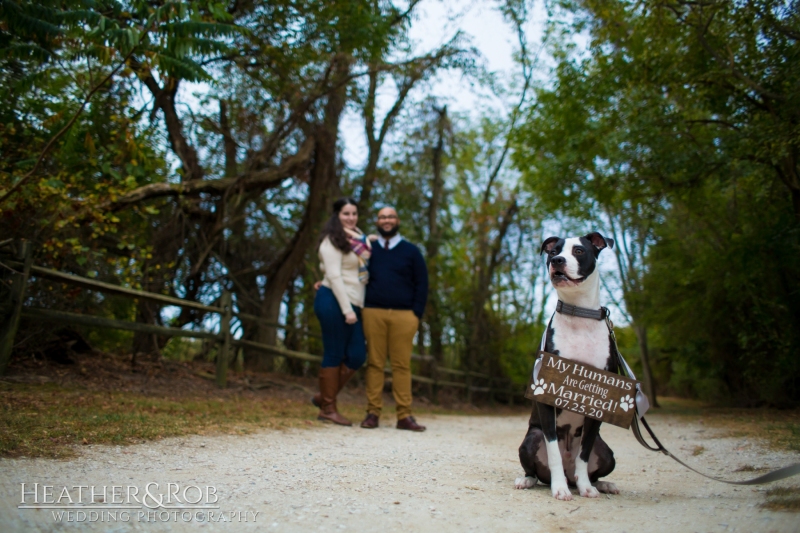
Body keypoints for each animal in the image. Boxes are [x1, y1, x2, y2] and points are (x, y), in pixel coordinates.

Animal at [516, 232, 620, 498]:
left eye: (579, 251)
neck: (578, 313)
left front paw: (586, 488)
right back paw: (530, 480)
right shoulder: (546, 397)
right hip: (531, 438)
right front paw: (560, 489)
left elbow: (584, 455)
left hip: (607, 453)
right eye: (554, 252)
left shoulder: (597, 402)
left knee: (591, 468)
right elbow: (553, 452)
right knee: (536, 470)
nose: (558, 261)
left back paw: (599, 484)